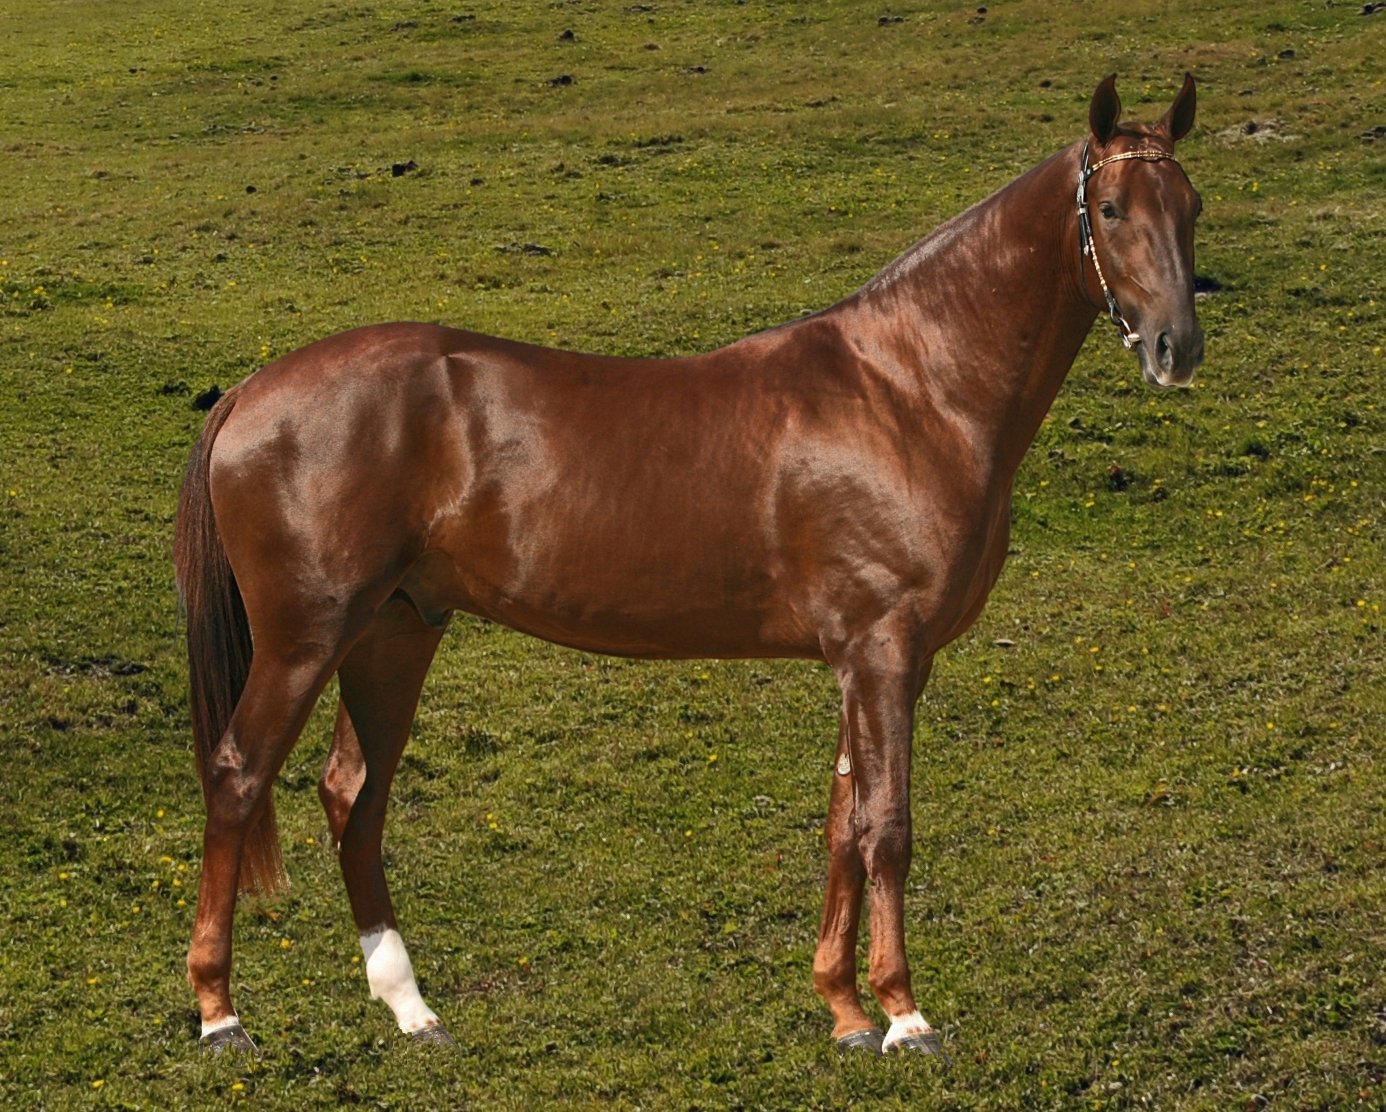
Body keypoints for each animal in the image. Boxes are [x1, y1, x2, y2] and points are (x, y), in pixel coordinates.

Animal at [175, 73, 1202, 1058]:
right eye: (1112, 209)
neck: (908, 389)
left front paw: (844, 1011)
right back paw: (221, 1015)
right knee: (238, 775)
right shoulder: (884, 649)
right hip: (306, 639)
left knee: (354, 795)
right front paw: (906, 1016)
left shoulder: (863, 661)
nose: (1176, 347)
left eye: (1191, 204)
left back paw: (410, 1009)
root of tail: (252, 392)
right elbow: (887, 828)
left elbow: (842, 824)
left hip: (392, 634)